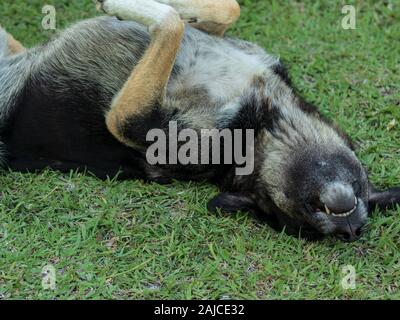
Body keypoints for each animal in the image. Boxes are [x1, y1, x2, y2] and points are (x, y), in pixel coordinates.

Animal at [0, 0, 398, 241]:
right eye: (362, 191)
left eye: (309, 218)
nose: (346, 220)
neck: (259, 123)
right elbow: (223, 12)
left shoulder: (130, 121)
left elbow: (171, 25)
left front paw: (130, 8)